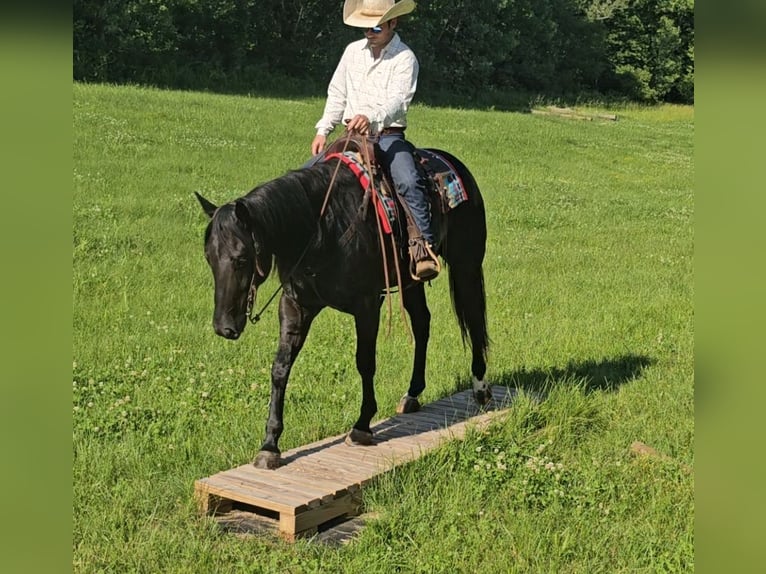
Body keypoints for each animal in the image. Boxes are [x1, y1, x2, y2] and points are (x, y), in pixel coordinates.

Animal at [195, 144, 488, 472]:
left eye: (242, 258)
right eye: (209, 257)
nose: (224, 327)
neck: (322, 227)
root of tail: (454, 164)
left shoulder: (368, 305)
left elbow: (365, 362)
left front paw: (362, 426)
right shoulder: (296, 305)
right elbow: (280, 368)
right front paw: (270, 445)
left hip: (466, 265)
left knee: (474, 319)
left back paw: (480, 387)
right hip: (411, 282)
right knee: (422, 324)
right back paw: (412, 394)